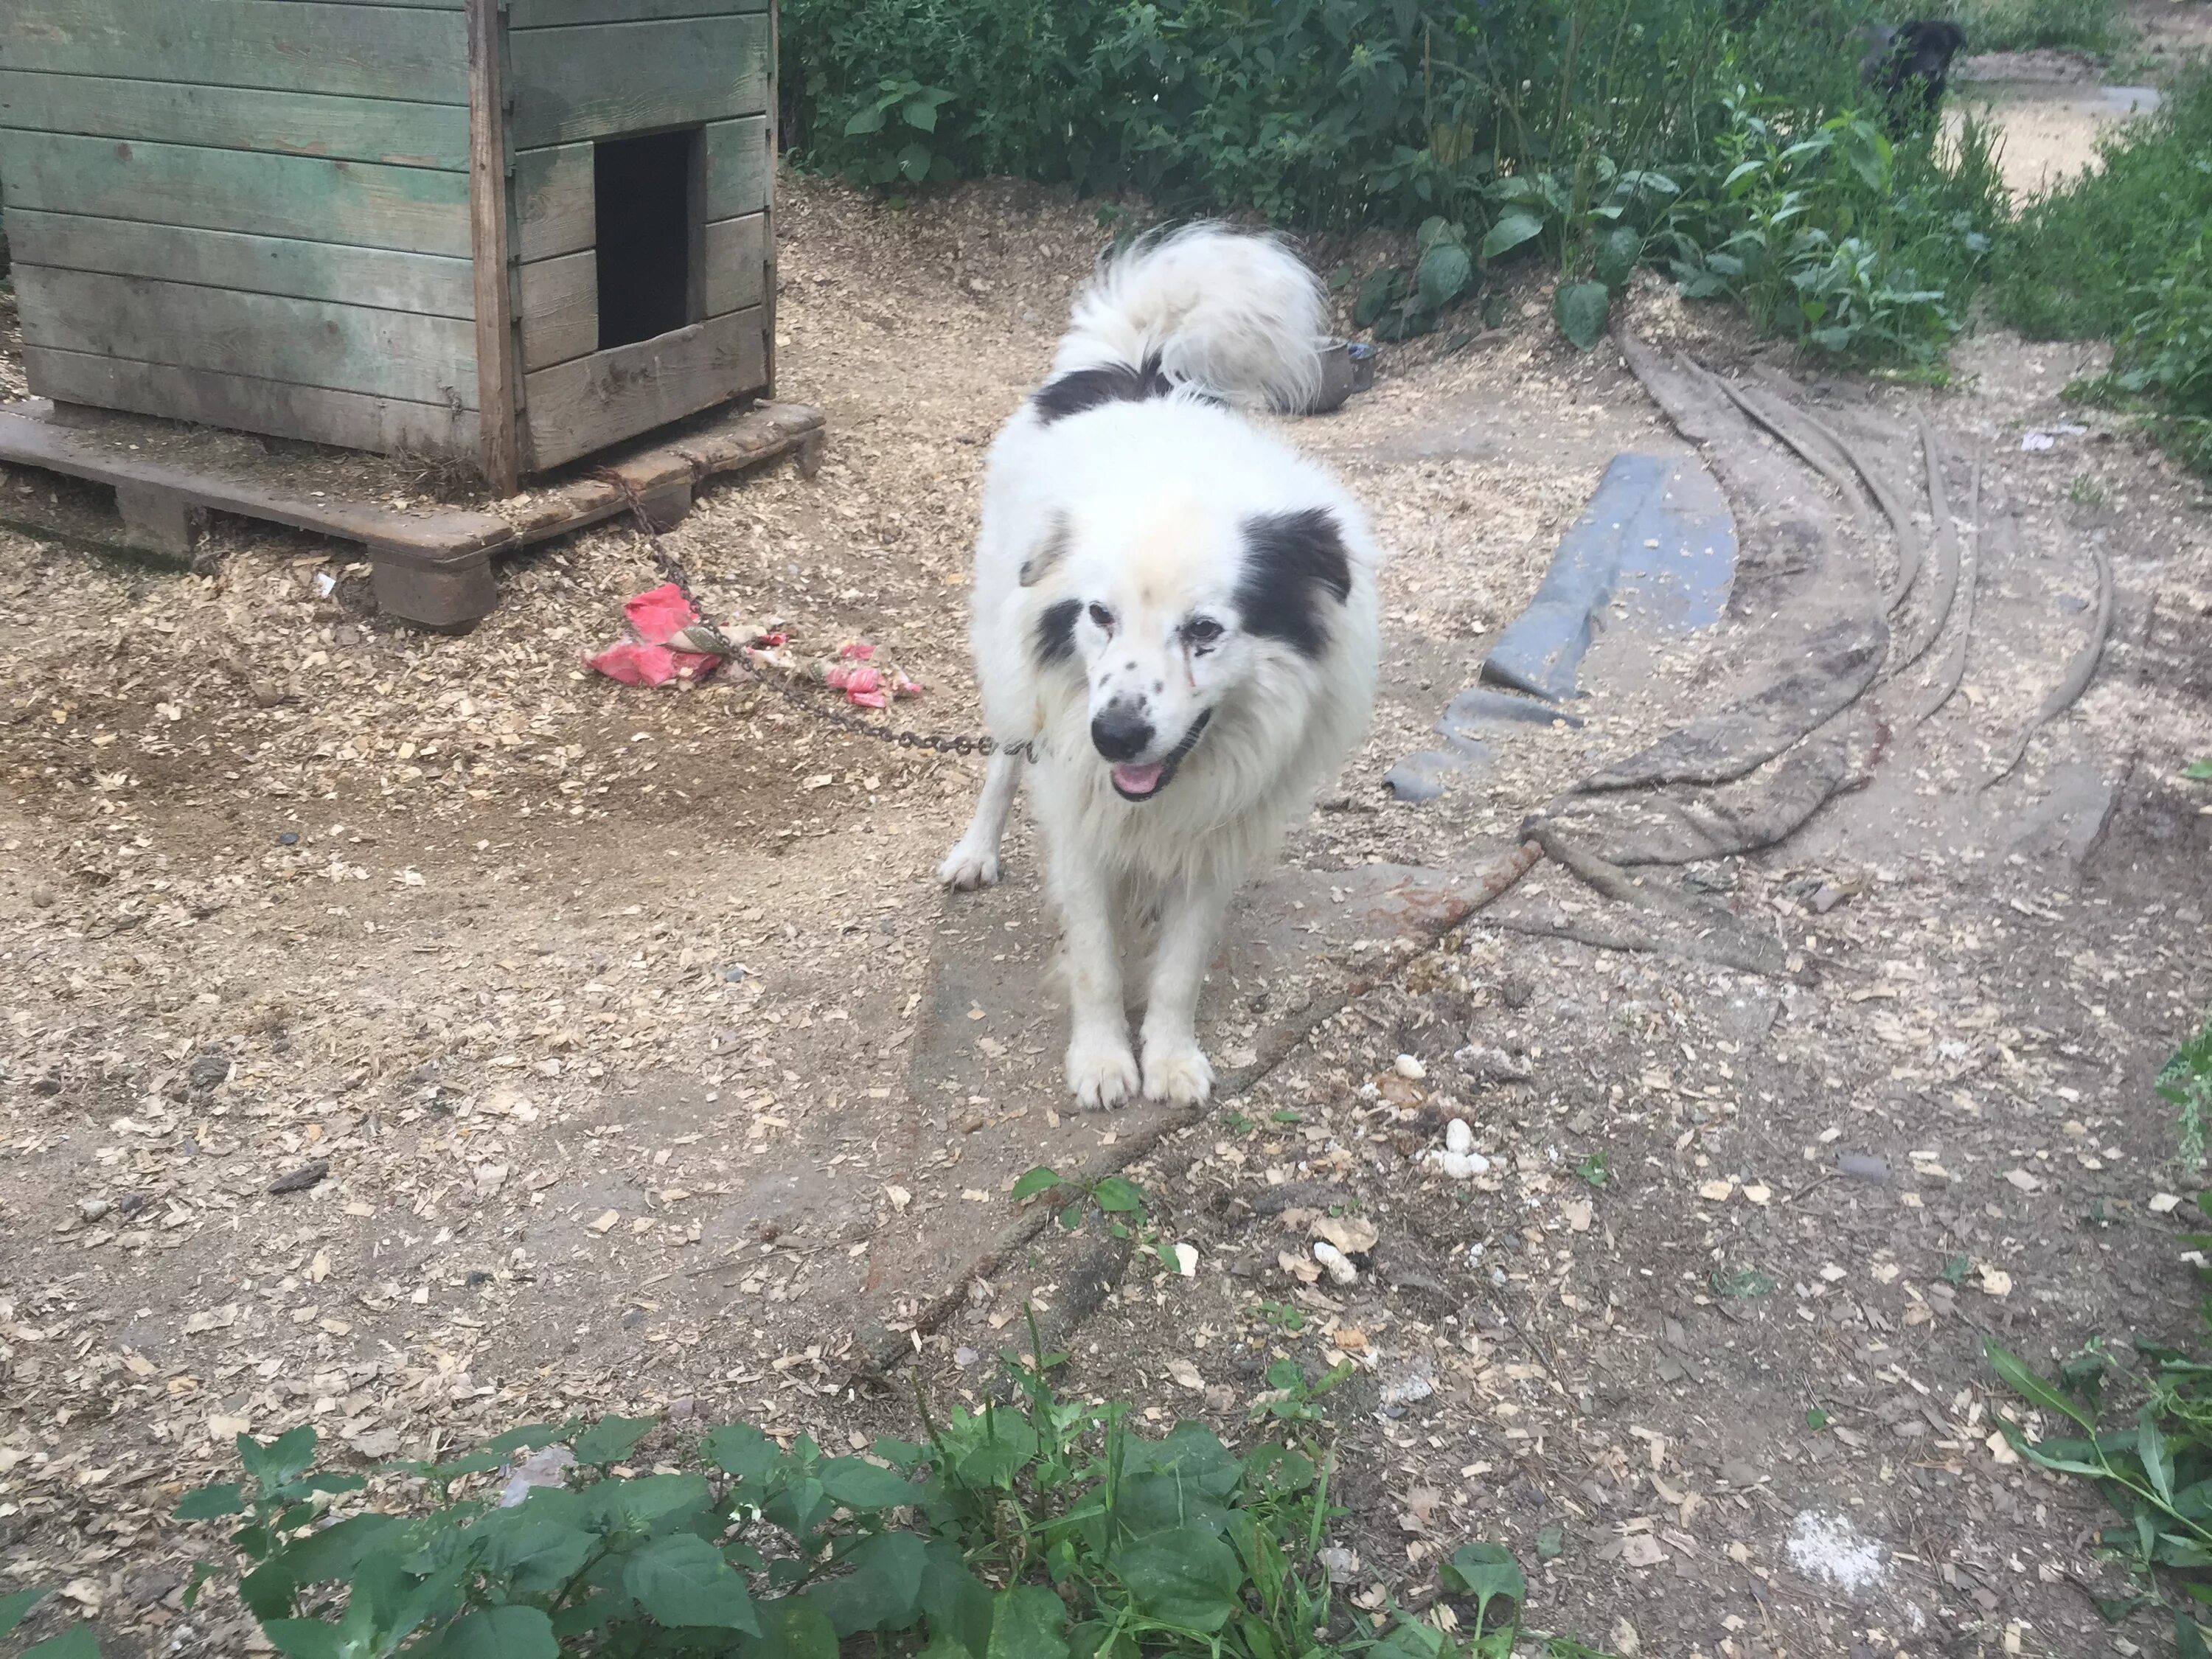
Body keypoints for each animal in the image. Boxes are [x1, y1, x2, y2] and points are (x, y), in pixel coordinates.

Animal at [938, 228, 1380, 1119]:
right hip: (1007, 674)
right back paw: (975, 851)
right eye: (1099, 616)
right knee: (1002, 761)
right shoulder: (1076, 808)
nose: (1114, 737)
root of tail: (1128, 364)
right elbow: (1096, 959)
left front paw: (1171, 1059)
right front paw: (1103, 1061)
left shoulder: (1221, 831)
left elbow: (1180, 965)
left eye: (1205, 631)